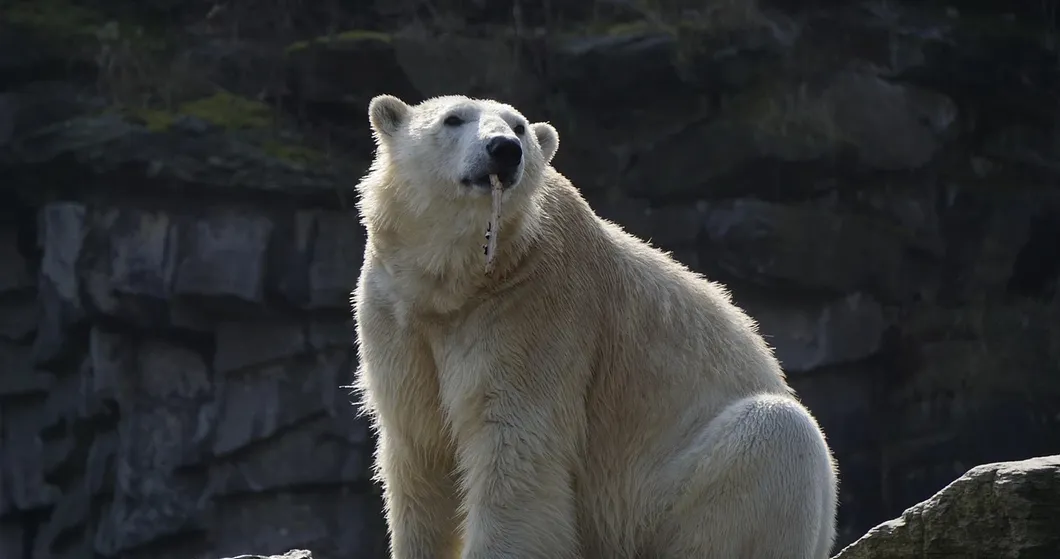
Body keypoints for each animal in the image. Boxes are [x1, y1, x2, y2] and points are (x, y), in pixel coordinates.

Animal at [352, 93, 839, 559]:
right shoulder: (395, 311)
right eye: (453, 118)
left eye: (519, 126)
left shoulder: (535, 308)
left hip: (657, 498)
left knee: (781, 432)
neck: (458, 282)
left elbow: (514, 449)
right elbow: (420, 447)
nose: (504, 149)